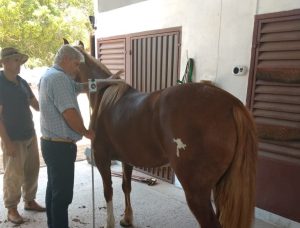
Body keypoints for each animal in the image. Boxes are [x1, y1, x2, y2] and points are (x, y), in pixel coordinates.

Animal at [71, 41, 258, 228]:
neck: (105, 96)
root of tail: (231, 104)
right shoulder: (127, 159)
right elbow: (126, 186)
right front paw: (127, 218)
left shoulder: (101, 157)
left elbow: (108, 190)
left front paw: (110, 222)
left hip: (197, 193)